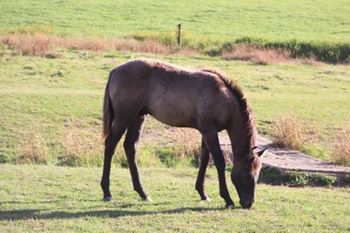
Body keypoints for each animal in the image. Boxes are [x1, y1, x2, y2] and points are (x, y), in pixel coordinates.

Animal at [100, 58, 266, 209]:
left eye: (258, 174)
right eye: (247, 173)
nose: (249, 203)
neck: (223, 97)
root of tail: (115, 71)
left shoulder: (206, 132)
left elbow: (204, 158)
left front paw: (202, 193)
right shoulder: (210, 131)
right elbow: (219, 161)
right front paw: (227, 199)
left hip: (138, 117)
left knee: (130, 147)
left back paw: (143, 193)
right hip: (124, 117)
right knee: (110, 144)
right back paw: (107, 192)